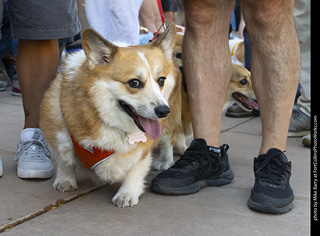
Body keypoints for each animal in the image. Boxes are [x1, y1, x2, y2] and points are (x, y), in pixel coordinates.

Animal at [40, 23, 181, 206]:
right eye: (134, 83)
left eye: (161, 80)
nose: (163, 111)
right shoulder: (58, 131)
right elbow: (64, 161)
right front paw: (65, 181)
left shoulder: (142, 150)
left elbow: (135, 169)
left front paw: (126, 194)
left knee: (167, 140)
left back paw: (165, 160)